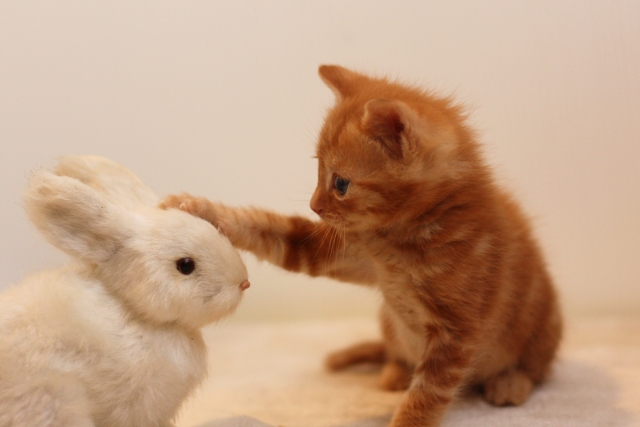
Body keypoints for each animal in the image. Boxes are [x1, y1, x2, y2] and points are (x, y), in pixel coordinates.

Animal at [162, 65, 564, 426]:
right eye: (317, 169)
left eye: (340, 183)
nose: (314, 205)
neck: (399, 246)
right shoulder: (347, 250)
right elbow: (277, 231)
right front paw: (202, 210)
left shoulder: (457, 332)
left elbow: (428, 394)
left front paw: (407, 420)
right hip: (388, 320)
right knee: (394, 352)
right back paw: (395, 371)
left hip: (542, 325)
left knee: (537, 368)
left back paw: (510, 382)